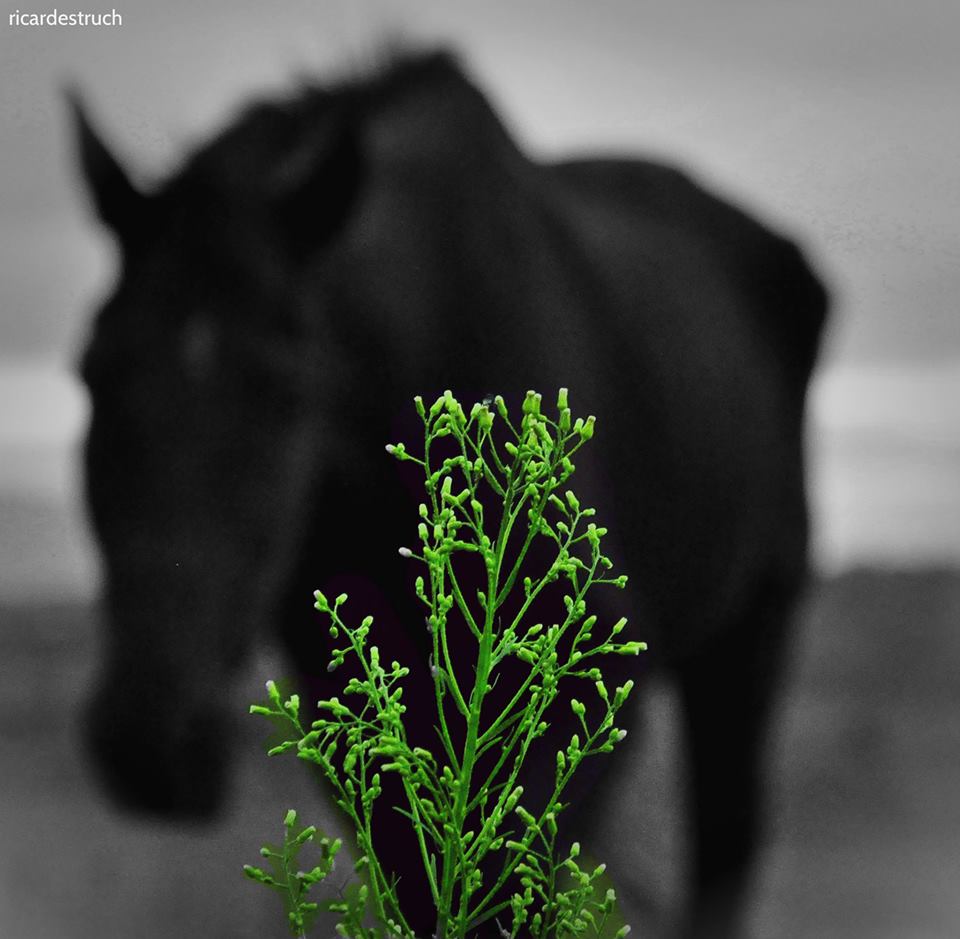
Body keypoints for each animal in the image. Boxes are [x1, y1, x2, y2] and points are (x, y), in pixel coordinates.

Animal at [71, 51, 828, 939]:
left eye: (286, 391)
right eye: (92, 370)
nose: (150, 744)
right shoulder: (344, 702)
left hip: (755, 625)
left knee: (727, 841)